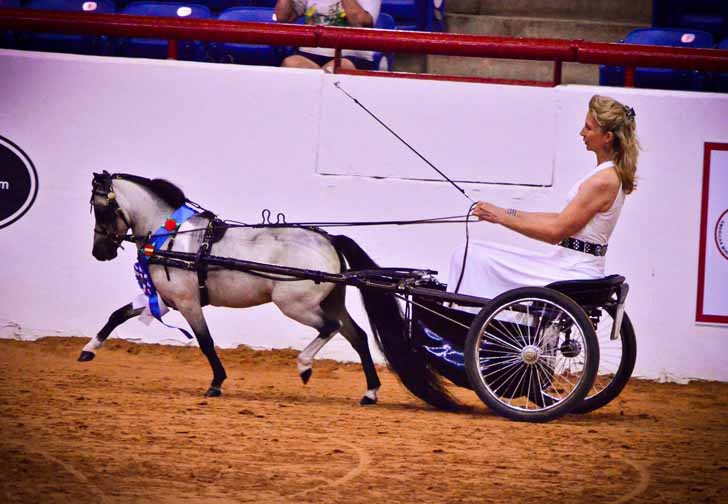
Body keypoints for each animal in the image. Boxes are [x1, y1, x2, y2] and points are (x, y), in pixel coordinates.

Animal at [82, 171, 459, 410]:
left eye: (101, 208)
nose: (99, 252)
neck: (173, 237)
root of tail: (329, 239)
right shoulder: (164, 299)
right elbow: (118, 314)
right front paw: (88, 351)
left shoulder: (188, 303)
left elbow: (206, 343)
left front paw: (216, 383)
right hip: (330, 302)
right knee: (358, 336)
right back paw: (369, 393)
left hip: (294, 304)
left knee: (331, 328)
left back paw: (305, 366)